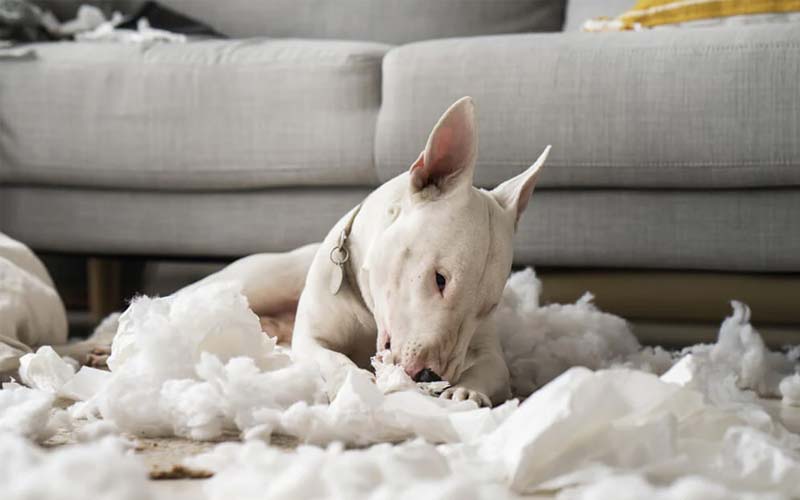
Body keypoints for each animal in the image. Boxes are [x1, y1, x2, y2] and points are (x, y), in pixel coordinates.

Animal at [192, 97, 552, 406]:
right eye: (440, 280)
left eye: (488, 307)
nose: (430, 376)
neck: (370, 314)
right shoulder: (310, 339)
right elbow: (331, 358)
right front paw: (354, 385)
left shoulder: (489, 351)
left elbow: (492, 367)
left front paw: (466, 391)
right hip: (257, 282)